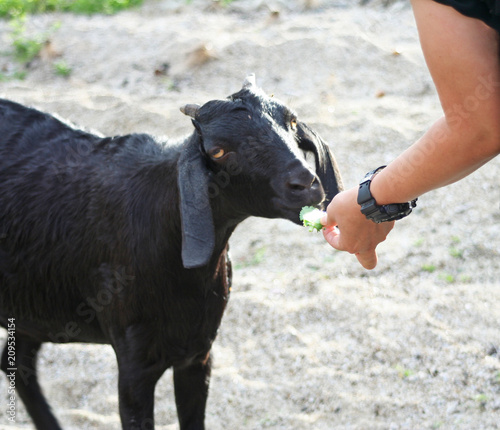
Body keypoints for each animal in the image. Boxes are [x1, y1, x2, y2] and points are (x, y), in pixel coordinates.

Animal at [0, 75, 344, 428]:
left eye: (292, 122)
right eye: (218, 151)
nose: (305, 183)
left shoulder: (197, 353)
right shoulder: (134, 366)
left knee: (18, 361)